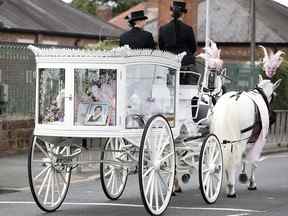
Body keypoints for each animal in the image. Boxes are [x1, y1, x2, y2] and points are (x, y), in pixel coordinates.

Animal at [210, 46, 284, 197]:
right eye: (274, 95)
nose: (273, 115)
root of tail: (231, 101)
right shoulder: (260, 139)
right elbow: (253, 160)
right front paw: (251, 183)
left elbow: (244, 157)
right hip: (241, 137)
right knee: (234, 157)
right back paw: (231, 188)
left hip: (222, 135)